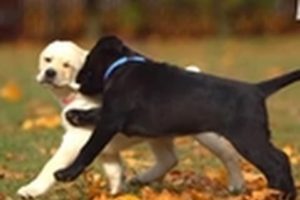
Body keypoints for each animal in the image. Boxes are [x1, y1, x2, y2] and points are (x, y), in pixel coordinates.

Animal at [17, 40, 244, 198]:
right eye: (47, 59)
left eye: (67, 65)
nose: (49, 73)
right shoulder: (107, 151)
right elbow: (115, 172)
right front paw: (116, 193)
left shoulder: (76, 141)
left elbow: (52, 165)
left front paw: (32, 189)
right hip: (158, 136)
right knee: (169, 159)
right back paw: (143, 179)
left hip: (206, 135)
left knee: (228, 153)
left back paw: (237, 184)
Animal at [55, 35, 298, 198]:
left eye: (88, 60)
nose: (77, 81)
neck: (121, 67)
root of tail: (257, 89)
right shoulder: (111, 114)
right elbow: (95, 112)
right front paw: (75, 115)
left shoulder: (111, 119)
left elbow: (88, 149)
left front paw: (66, 174)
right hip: (255, 138)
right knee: (280, 158)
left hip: (248, 139)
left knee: (278, 161)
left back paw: (281, 192)